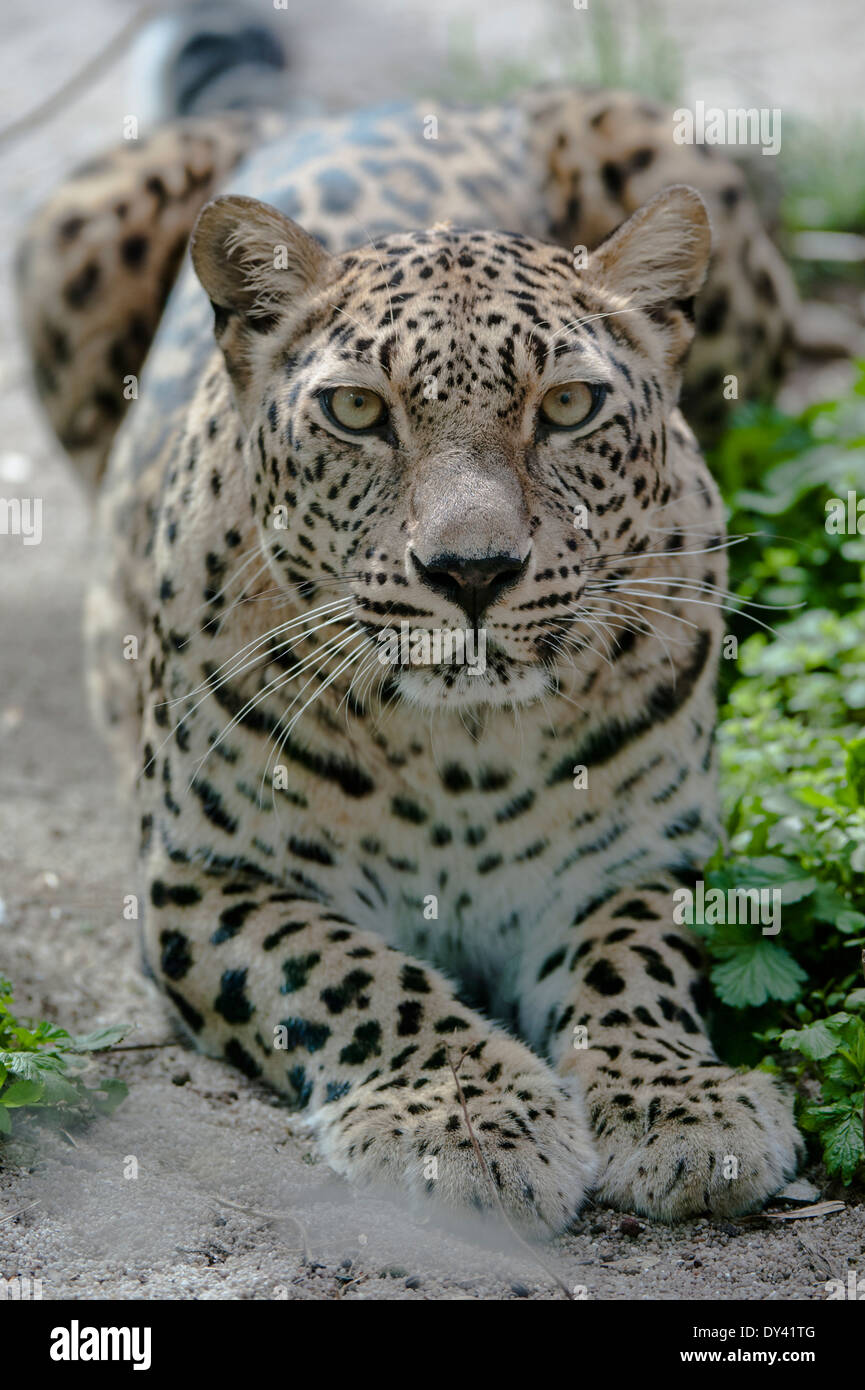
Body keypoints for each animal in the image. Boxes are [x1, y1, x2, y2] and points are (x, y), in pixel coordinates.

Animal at [16, 70, 806, 1234]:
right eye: (357, 410)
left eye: (567, 405)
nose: (472, 573)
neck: (462, 749)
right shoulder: (203, 878)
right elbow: (349, 975)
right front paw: (466, 1119)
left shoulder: (640, 858)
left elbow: (632, 963)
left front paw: (679, 1101)